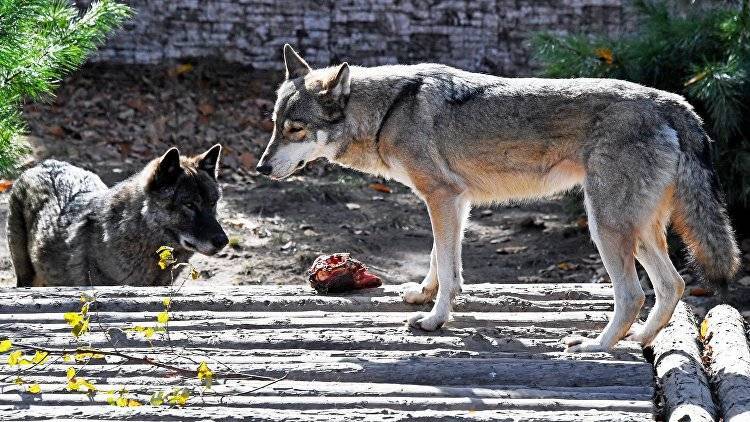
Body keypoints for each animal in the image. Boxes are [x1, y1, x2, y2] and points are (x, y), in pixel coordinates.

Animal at [258, 44, 740, 352]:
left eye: (295, 129)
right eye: (275, 125)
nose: (261, 168)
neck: (389, 111)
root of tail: (673, 102)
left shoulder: (441, 197)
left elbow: (449, 270)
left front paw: (434, 321)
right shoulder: (455, 202)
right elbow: (439, 260)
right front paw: (424, 295)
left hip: (605, 226)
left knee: (634, 295)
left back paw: (596, 345)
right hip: (639, 231)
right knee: (673, 285)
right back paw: (638, 340)